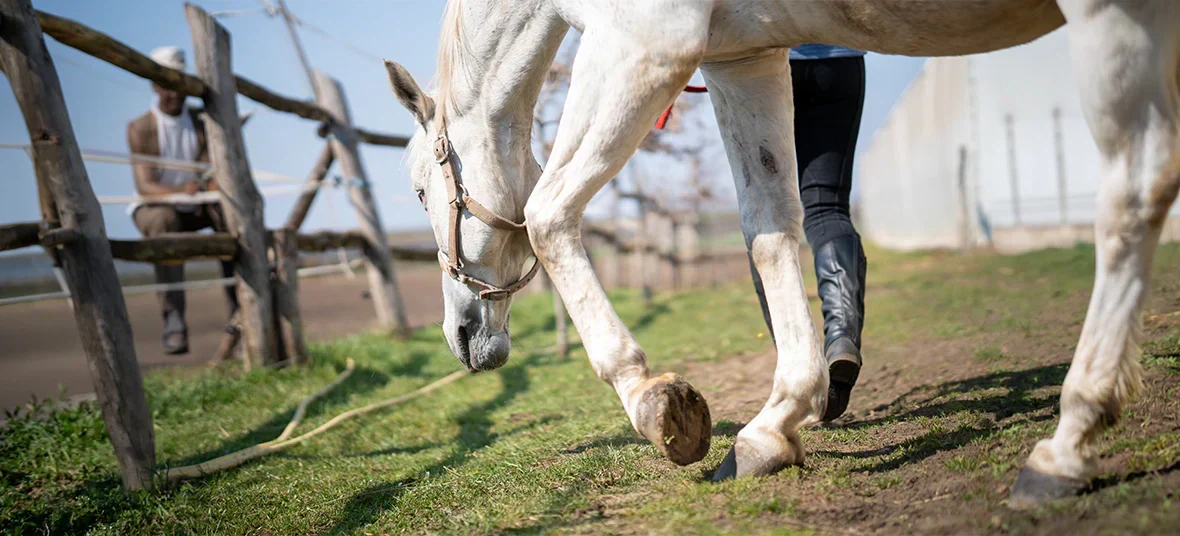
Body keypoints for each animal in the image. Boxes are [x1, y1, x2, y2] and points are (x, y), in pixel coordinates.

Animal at [383, 0, 1180, 509]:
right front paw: (774, 427)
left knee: (1132, 193)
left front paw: (656, 402)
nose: (460, 333)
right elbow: (770, 230)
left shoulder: (644, 40)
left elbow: (547, 215)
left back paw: (1068, 441)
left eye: (421, 188)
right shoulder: (742, 56)